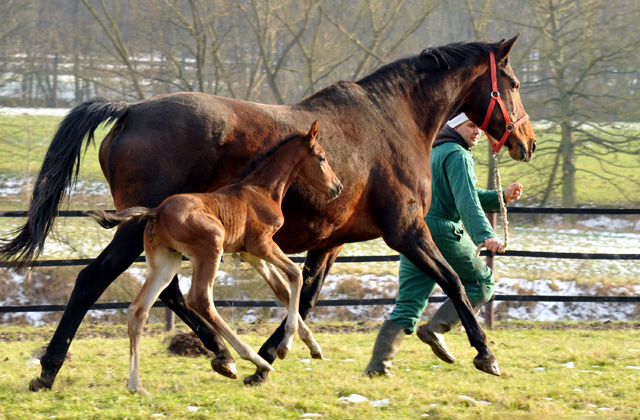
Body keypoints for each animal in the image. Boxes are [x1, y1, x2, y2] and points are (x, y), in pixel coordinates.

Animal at [89, 120, 344, 394]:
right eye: (321, 157)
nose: (337, 187)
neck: (261, 190)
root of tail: (157, 210)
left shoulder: (249, 253)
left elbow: (282, 289)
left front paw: (314, 347)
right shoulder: (261, 244)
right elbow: (295, 275)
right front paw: (285, 347)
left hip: (166, 261)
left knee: (139, 310)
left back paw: (136, 386)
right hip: (211, 246)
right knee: (200, 299)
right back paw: (255, 360)